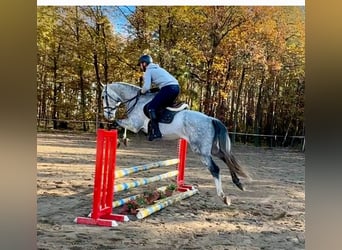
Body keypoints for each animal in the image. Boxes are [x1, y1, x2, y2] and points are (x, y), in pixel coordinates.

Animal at [101, 82, 248, 205]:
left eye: (103, 96)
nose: (107, 115)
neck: (136, 101)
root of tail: (211, 119)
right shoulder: (133, 124)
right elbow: (120, 124)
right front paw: (123, 139)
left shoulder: (134, 125)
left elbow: (118, 123)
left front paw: (119, 138)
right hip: (212, 149)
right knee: (226, 158)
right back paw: (238, 183)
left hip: (201, 151)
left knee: (215, 169)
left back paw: (223, 196)